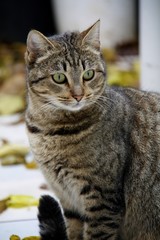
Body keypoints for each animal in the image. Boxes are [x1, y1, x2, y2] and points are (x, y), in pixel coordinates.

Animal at [25, 21, 160, 240]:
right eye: (59, 77)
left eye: (88, 74)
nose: (78, 95)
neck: (49, 130)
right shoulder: (66, 197)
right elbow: (73, 231)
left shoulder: (102, 198)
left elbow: (96, 234)